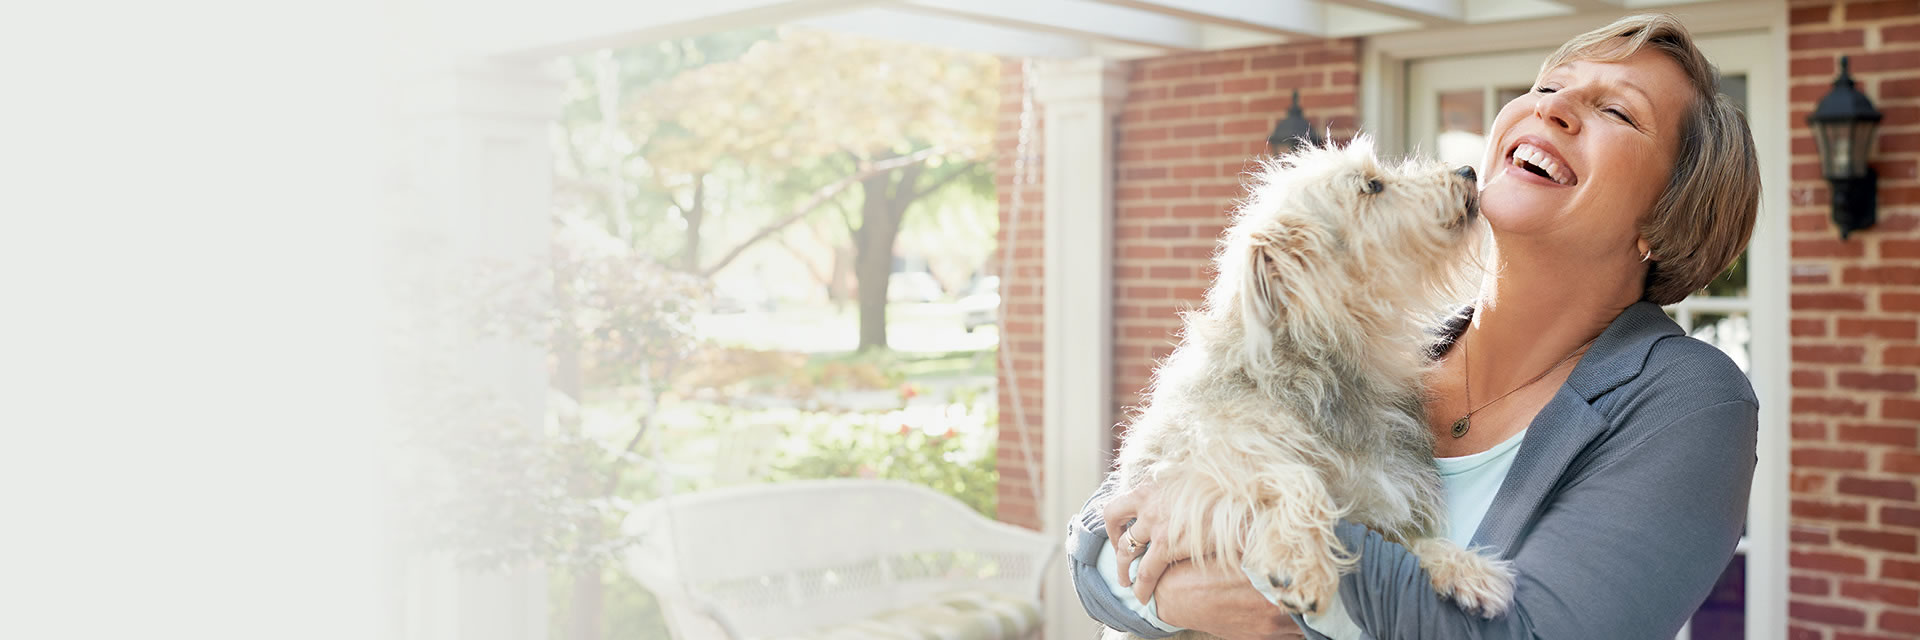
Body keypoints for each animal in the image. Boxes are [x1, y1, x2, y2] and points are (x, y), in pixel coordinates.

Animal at [1113, 135, 1512, 634]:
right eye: (1372, 185)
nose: (1467, 171)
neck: (1324, 363)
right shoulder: (1189, 467)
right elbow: (1291, 474)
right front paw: (1303, 563)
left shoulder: (1379, 509)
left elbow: (1410, 545)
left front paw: (1464, 566)